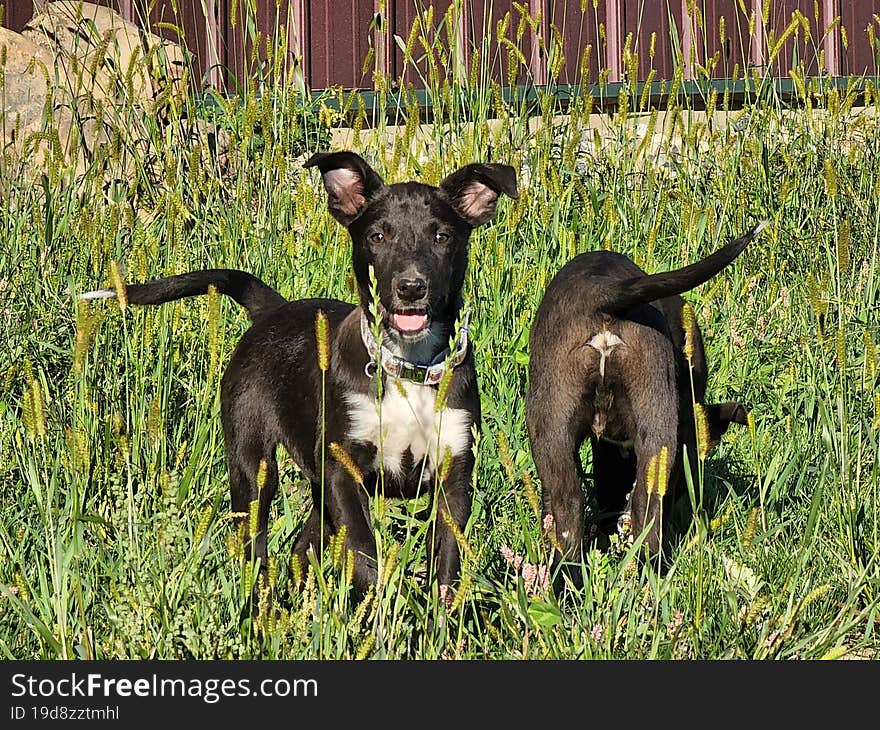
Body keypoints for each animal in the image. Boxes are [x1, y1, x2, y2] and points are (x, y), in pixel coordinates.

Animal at [81, 152, 516, 596]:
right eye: (377, 236)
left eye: (442, 237)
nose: (411, 287)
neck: (408, 369)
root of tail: (275, 310)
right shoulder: (342, 467)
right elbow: (362, 553)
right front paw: (378, 604)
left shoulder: (453, 473)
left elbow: (447, 565)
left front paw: (431, 614)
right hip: (252, 461)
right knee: (255, 541)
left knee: (300, 548)